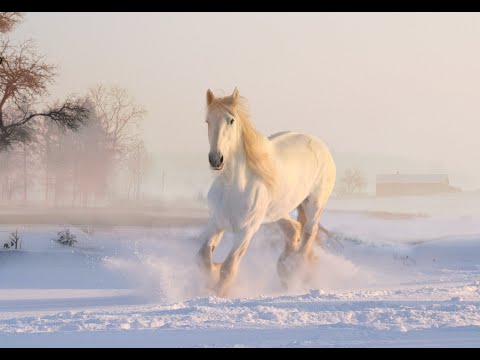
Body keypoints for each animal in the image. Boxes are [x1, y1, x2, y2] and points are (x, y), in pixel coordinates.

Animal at [197, 87, 336, 296]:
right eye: (208, 121)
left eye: (231, 120)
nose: (216, 159)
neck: (233, 187)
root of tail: (320, 145)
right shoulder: (216, 222)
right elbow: (204, 257)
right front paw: (211, 278)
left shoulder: (246, 231)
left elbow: (228, 268)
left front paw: (219, 292)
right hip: (278, 211)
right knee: (294, 230)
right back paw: (284, 269)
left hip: (314, 205)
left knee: (309, 233)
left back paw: (294, 270)